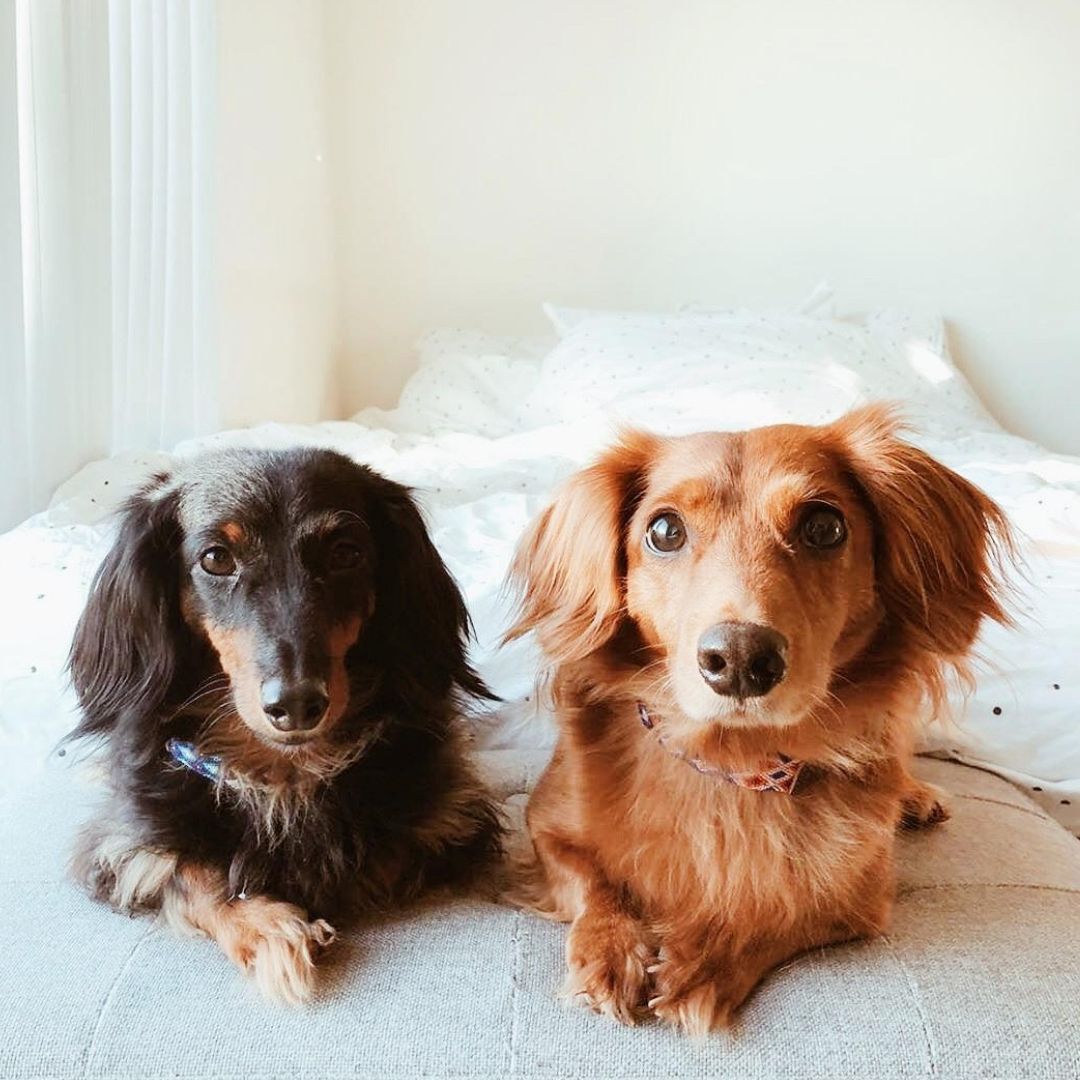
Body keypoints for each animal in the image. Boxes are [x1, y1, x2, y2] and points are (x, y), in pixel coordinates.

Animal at [67, 447, 501, 1004]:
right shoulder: (125, 844)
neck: (285, 770)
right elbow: (193, 872)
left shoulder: (451, 822)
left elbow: (370, 861)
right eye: (215, 558)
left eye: (345, 553)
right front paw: (269, 929)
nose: (295, 704)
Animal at [507, 405, 1011, 1035]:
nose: (741, 659)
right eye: (664, 531)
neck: (733, 762)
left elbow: (789, 903)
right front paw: (610, 948)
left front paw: (705, 957)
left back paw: (915, 795)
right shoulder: (546, 824)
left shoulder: (863, 897)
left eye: (824, 527)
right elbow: (593, 880)